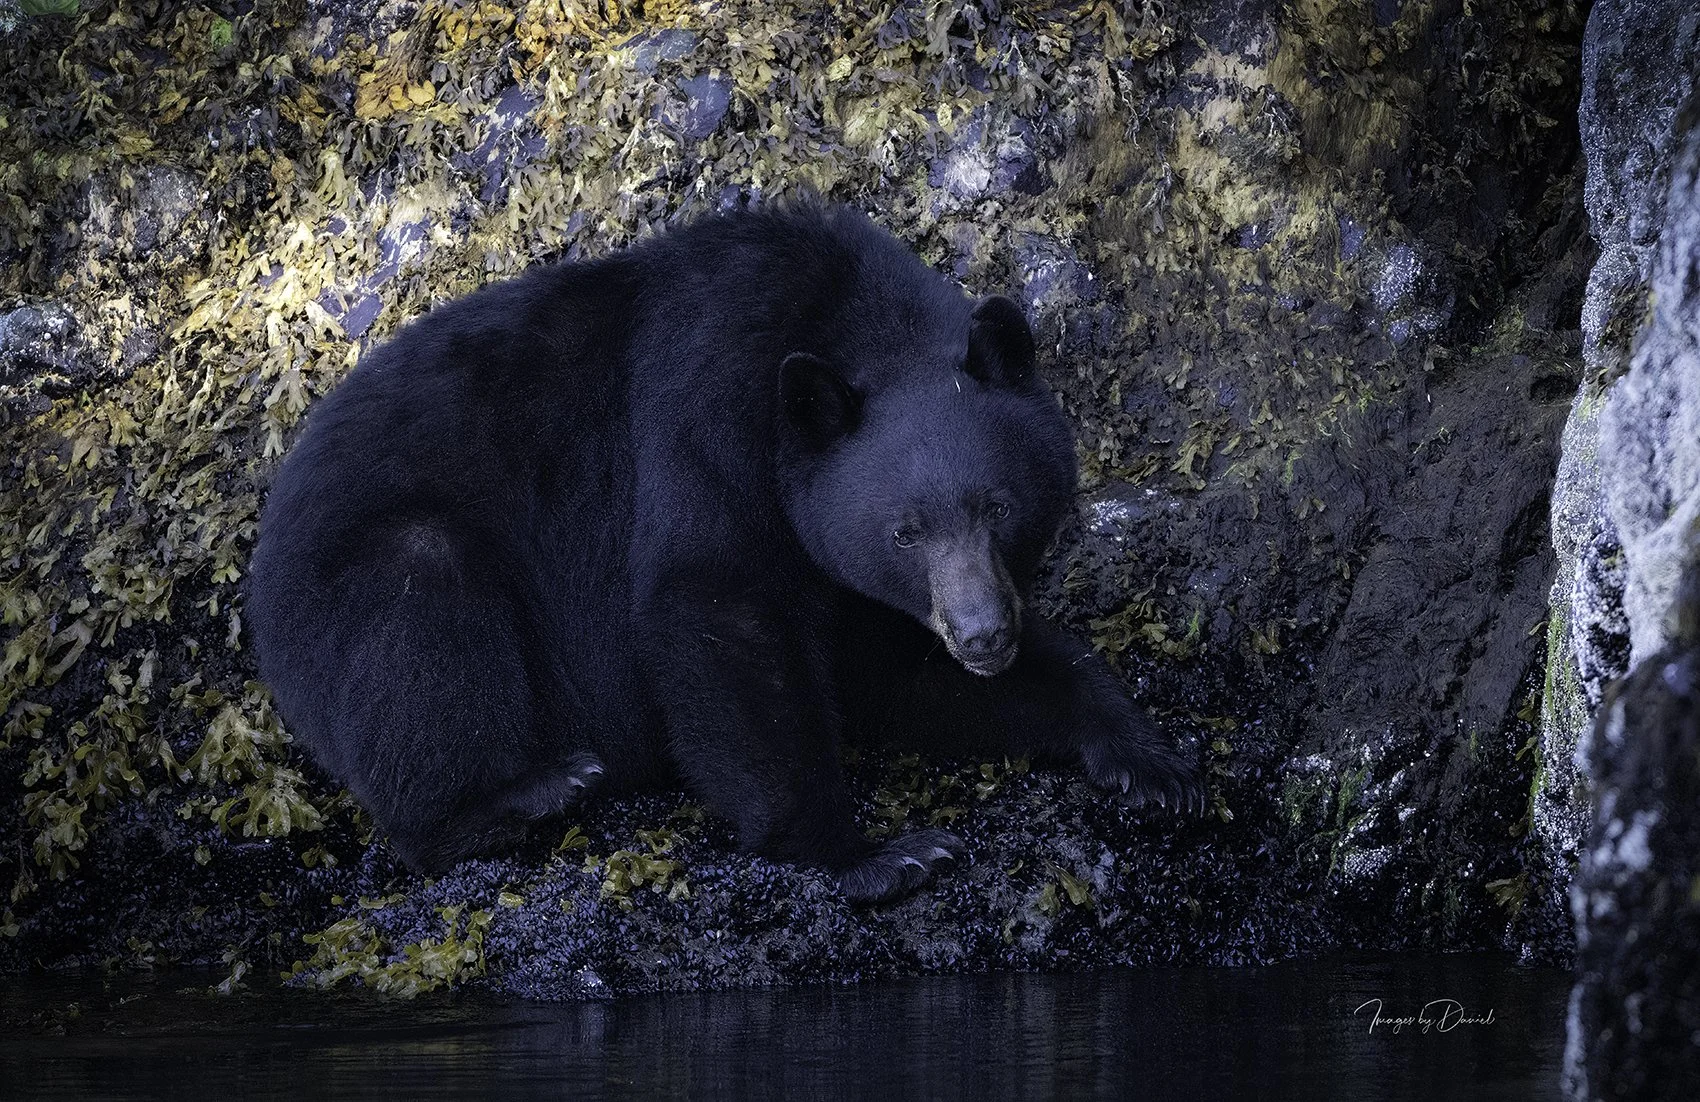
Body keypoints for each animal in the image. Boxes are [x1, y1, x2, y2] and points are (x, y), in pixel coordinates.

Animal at [247, 202, 1201, 903]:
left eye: (997, 508)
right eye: (906, 529)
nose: (981, 636)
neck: (838, 316)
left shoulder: (852, 568)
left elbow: (888, 672)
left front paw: (1148, 761)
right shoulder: (712, 402)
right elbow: (715, 606)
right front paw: (873, 855)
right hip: (356, 579)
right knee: (417, 626)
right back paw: (531, 790)